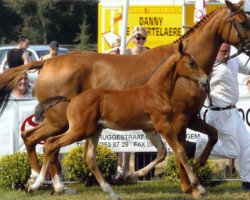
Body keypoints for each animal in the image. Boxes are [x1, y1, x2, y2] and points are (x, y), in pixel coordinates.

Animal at [27, 41, 207, 199]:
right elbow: (180, 151)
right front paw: (199, 186)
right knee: (51, 144)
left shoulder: (149, 128)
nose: (205, 79)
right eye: (191, 63)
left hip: (93, 131)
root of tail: (72, 100)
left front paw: (134, 173)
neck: (156, 91)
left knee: (88, 158)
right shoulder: (163, 125)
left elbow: (162, 152)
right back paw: (36, 184)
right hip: (80, 130)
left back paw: (111, 193)